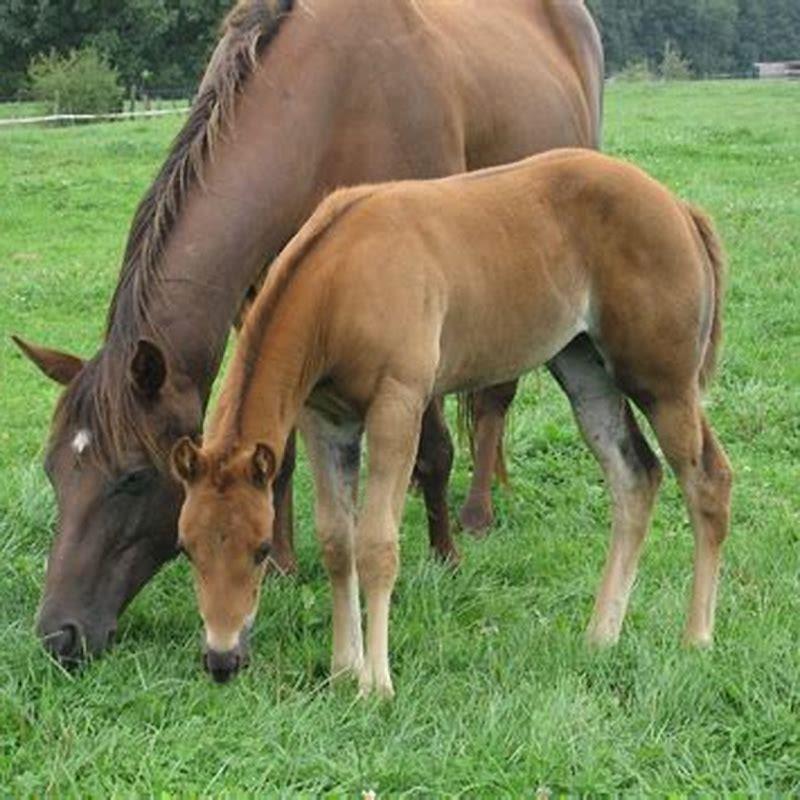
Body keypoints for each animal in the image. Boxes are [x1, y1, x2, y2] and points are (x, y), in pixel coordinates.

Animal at [13, 0, 603, 663]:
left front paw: (445, 557)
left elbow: (435, 448)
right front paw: (282, 564)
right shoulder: (267, 302)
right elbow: (281, 448)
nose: (58, 634)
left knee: (493, 400)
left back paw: (476, 515)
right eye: (53, 470)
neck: (329, 103)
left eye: (133, 477)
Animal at [171, 149, 732, 694]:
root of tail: (680, 208)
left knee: (707, 480)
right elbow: (337, 541)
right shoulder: (325, 419)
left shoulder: (398, 404)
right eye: (187, 549)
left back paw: (697, 637)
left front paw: (376, 684)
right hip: (584, 369)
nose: (221, 659)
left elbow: (377, 544)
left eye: (262, 548)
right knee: (636, 476)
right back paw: (601, 635)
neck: (341, 278)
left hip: (662, 383)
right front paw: (342, 669)